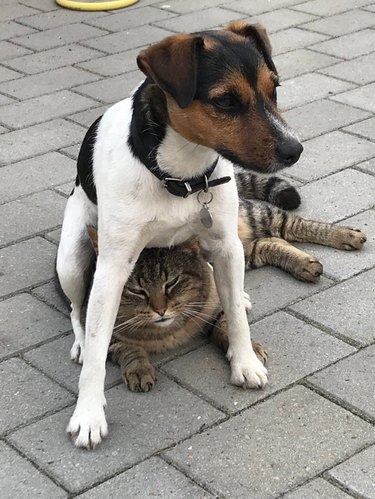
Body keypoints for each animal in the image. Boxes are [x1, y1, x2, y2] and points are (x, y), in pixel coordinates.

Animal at [57, 21, 304, 450]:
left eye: (274, 89)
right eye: (225, 101)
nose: (296, 150)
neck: (183, 177)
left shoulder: (225, 245)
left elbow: (234, 317)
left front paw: (244, 361)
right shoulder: (112, 268)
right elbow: (98, 343)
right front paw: (88, 414)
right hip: (72, 258)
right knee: (76, 308)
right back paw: (79, 342)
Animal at [86, 173, 368, 394]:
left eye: (172, 283)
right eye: (137, 290)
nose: (160, 309)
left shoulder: (214, 308)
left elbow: (228, 326)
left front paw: (247, 352)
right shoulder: (102, 328)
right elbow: (127, 349)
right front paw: (139, 368)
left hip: (252, 220)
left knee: (292, 224)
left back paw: (346, 235)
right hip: (238, 252)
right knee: (269, 243)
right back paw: (304, 264)